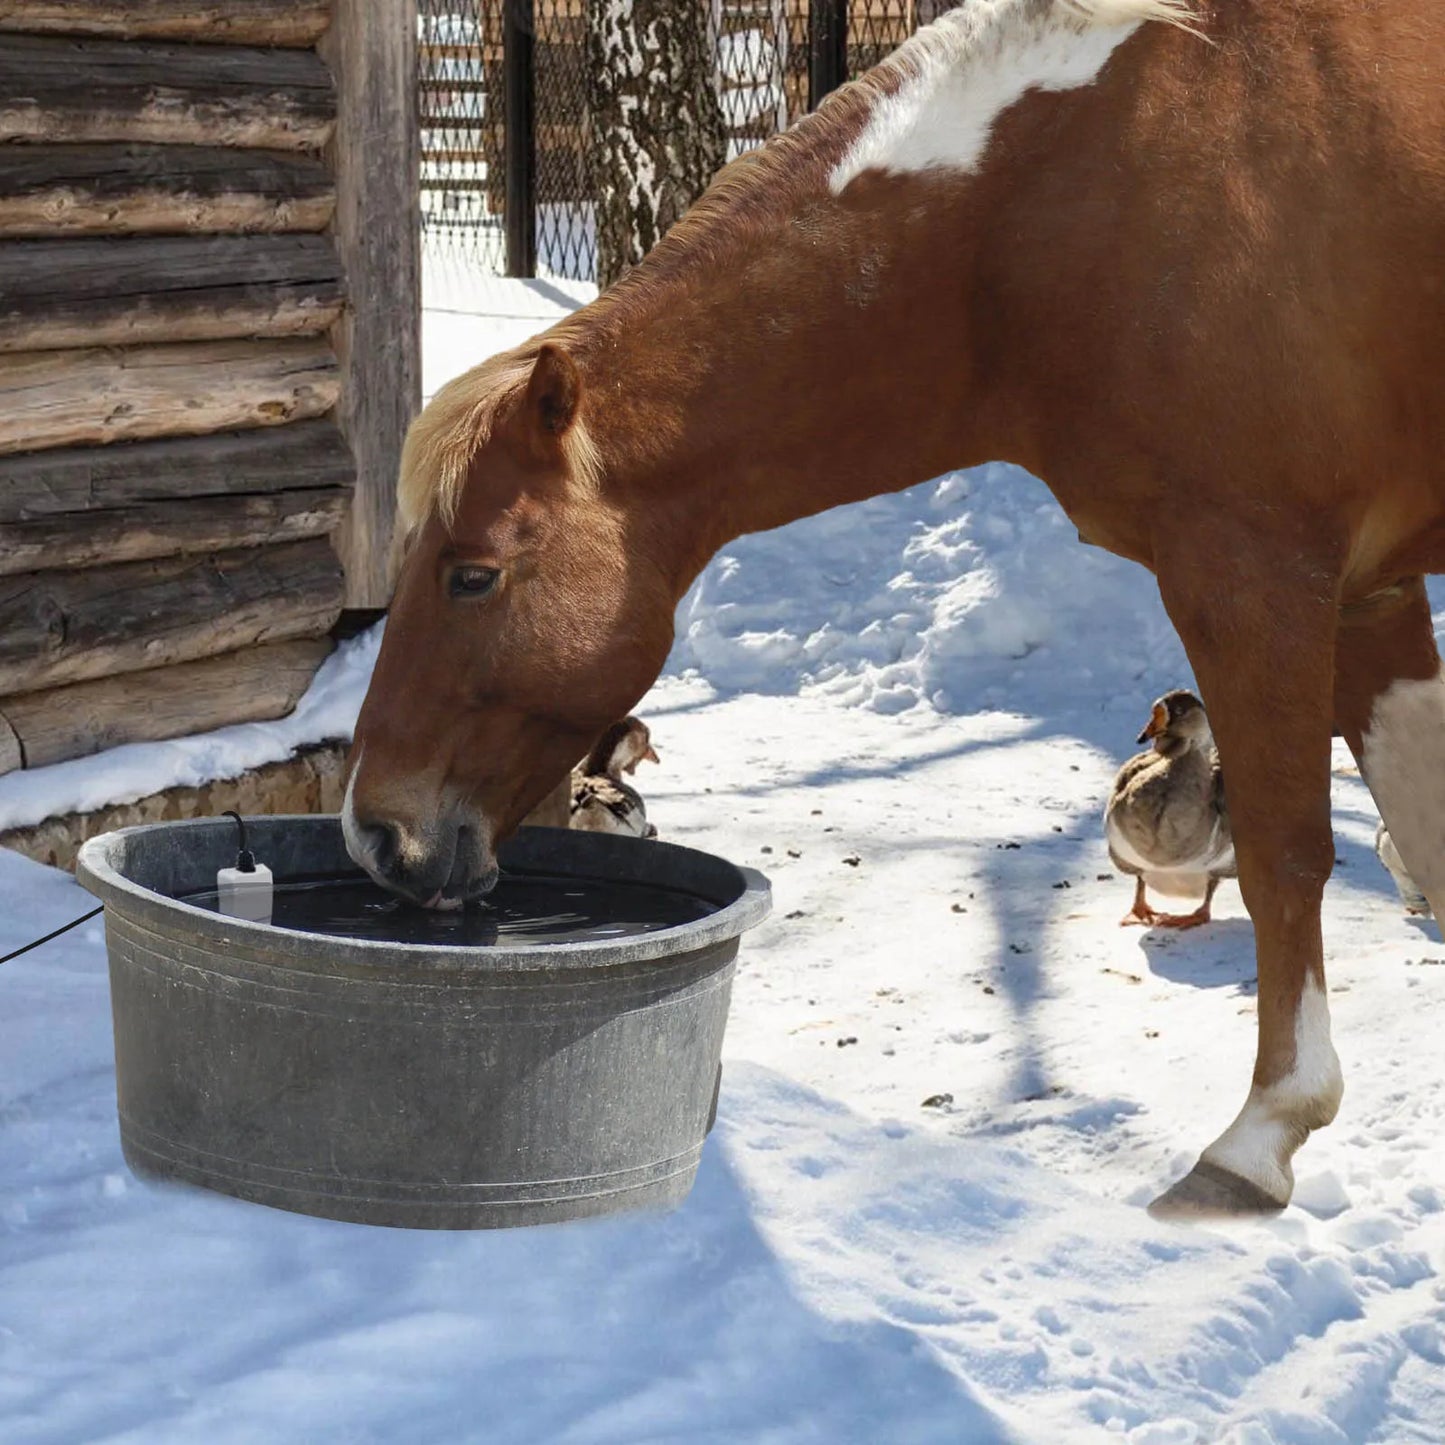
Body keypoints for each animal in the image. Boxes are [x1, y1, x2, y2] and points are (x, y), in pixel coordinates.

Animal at [346, 0, 1445, 1217]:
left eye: (472, 573)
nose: (373, 832)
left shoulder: (1254, 572)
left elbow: (1285, 852)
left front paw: (1258, 1136)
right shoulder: (1372, 593)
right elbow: (1425, 837)